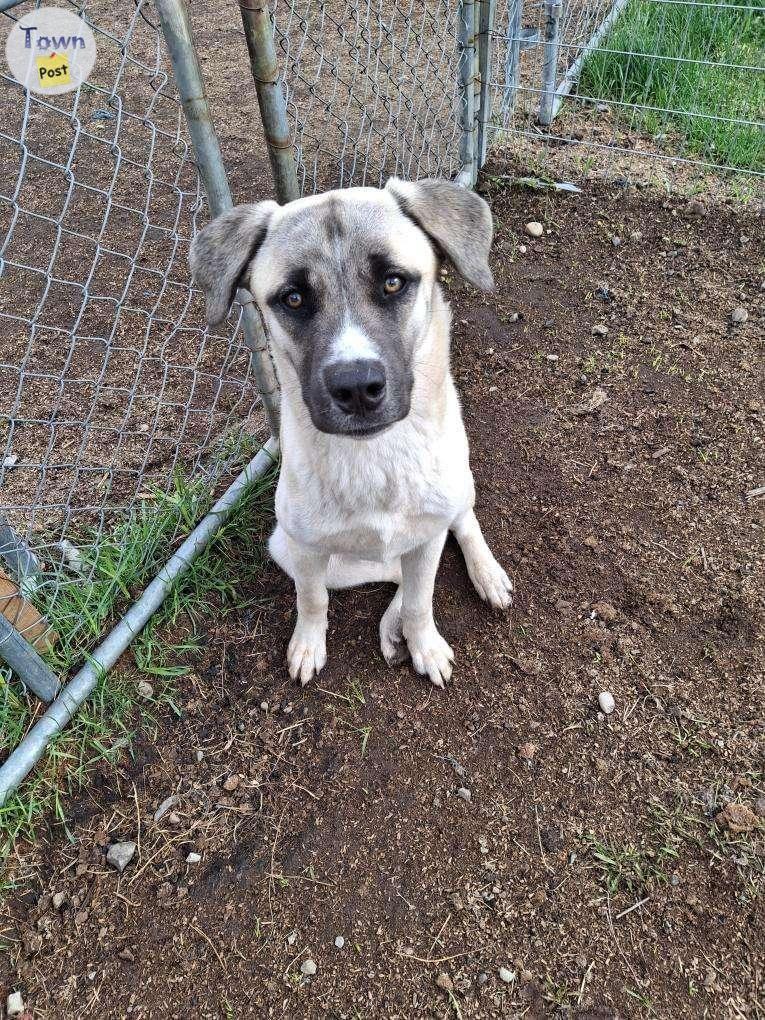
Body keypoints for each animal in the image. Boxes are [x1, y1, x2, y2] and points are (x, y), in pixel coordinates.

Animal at [191, 179, 516, 689]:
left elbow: (423, 600)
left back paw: (485, 575)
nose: (357, 388)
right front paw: (308, 646)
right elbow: (313, 599)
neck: (376, 458)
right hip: (304, 552)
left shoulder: (428, 536)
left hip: (455, 490)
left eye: (393, 282)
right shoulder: (301, 550)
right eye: (293, 298)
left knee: (462, 525)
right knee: (395, 576)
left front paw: (426, 646)